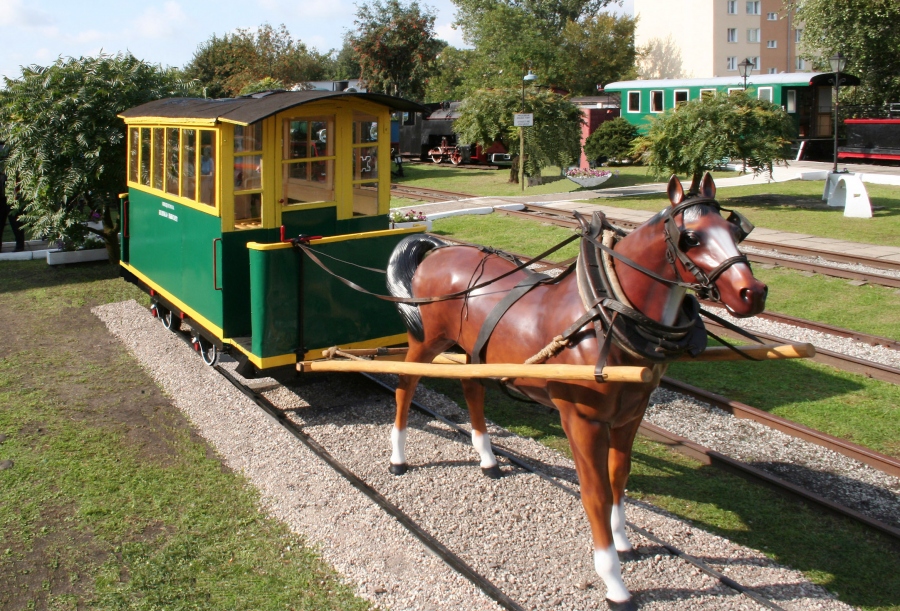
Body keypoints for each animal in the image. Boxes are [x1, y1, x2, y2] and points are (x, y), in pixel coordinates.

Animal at [384, 175, 768, 608]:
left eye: (735, 230)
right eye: (691, 237)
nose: (752, 292)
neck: (605, 315)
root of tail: (438, 250)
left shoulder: (630, 416)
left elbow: (619, 478)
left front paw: (623, 542)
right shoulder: (582, 420)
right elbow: (596, 493)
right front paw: (614, 582)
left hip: (475, 350)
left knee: (472, 388)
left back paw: (487, 458)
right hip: (427, 341)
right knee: (405, 385)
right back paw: (398, 457)